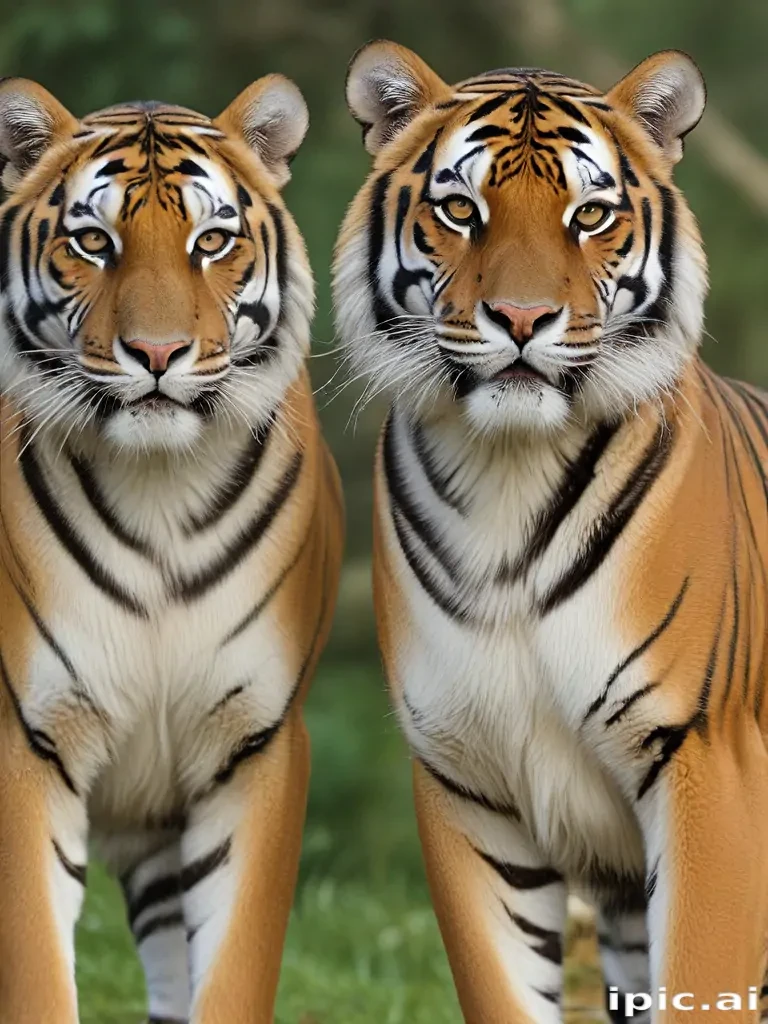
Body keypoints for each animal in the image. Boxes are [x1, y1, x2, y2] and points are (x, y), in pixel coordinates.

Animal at [0, 74, 343, 1024]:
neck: (159, 489)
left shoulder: (255, 744)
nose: (156, 354)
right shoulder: (31, 738)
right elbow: (36, 969)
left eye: (211, 240)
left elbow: (230, 973)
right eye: (93, 241)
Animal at [333, 40, 768, 1023]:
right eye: (461, 209)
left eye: (590, 214)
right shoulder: (464, 780)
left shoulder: (705, 761)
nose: (524, 320)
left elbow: (704, 976)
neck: (509, 478)